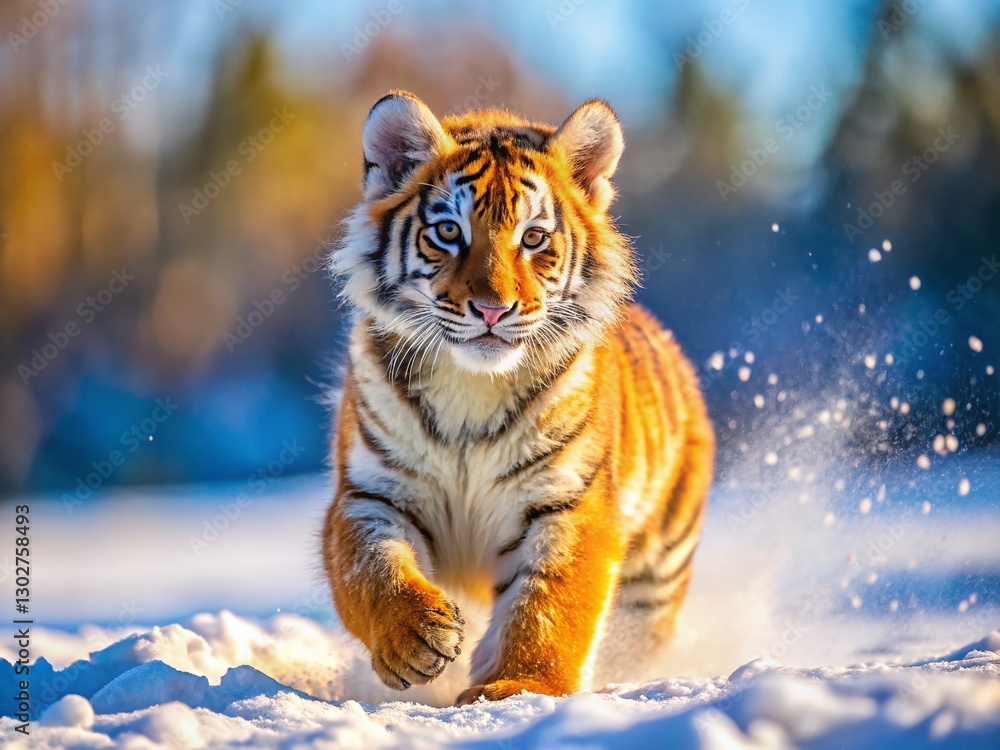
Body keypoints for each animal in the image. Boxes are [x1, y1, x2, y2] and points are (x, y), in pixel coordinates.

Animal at [323, 91, 714, 704]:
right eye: (448, 231)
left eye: (533, 239)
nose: (492, 309)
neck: (472, 386)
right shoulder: (370, 490)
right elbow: (373, 569)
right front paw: (416, 637)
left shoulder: (568, 501)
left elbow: (549, 602)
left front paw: (521, 686)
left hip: (656, 574)